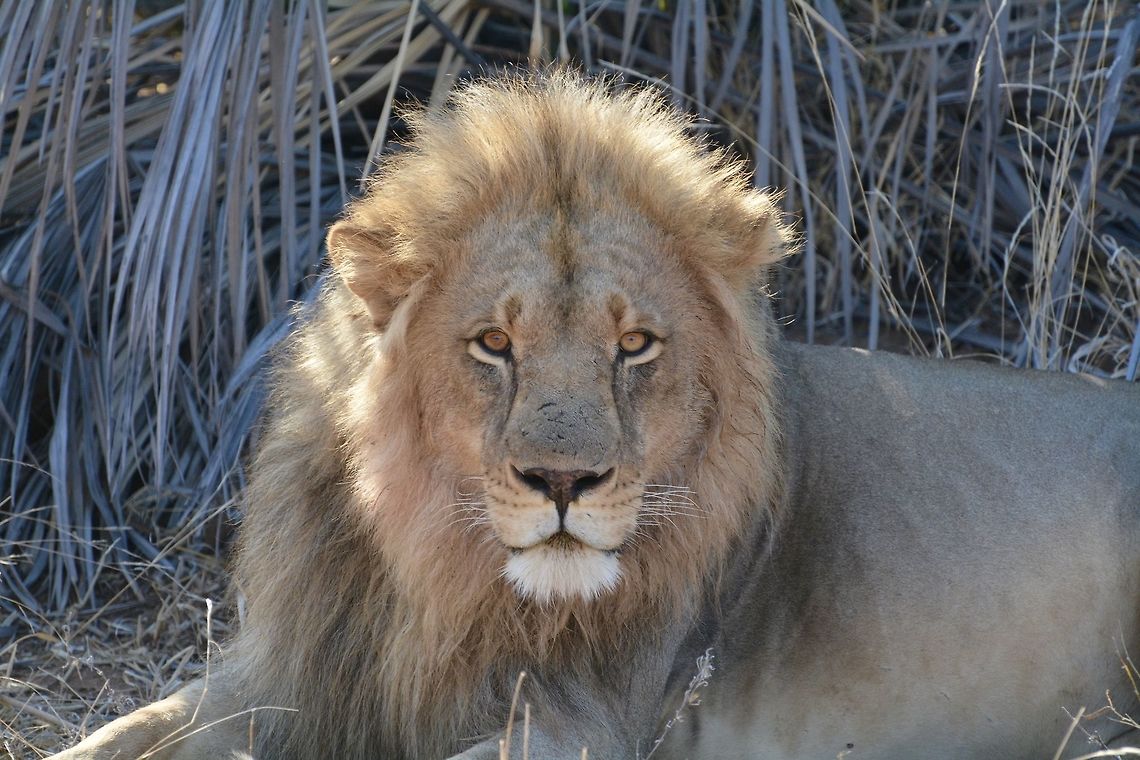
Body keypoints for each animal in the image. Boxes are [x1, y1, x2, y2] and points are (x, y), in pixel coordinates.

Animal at [50, 71, 1140, 760]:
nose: (564, 484)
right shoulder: (294, 673)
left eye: (636, 345)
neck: (434, 577)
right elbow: (123, 730)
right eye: (495, 343)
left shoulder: (597, 721)